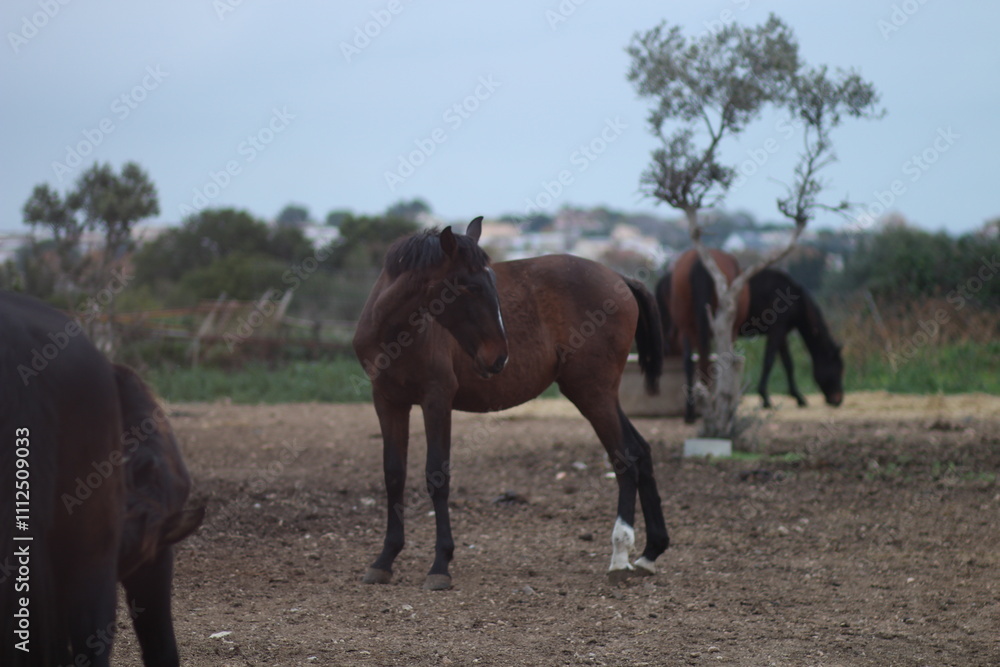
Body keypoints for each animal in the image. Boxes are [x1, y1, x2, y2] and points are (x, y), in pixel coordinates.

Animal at [353, 218, 668, 590]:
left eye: (491, 283)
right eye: (466, 286)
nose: (499, 357)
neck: (398, 332)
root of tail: (621, 279)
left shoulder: (437, 400)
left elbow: (437, 476)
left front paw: (440, 564)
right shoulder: (387, 402)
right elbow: (394, 474)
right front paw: (385, 559)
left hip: (594, 393)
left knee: (625, 460)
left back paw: (620, 555)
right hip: (594, 393)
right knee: (640, 451)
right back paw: (649, 553)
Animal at [738, 269, 844, 408]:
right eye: (838, 369)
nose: (838, 400)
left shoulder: (782, 335)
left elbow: (788, 364)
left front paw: (798, 397)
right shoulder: (777, 331)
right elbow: (769, 361)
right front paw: (765, 398)